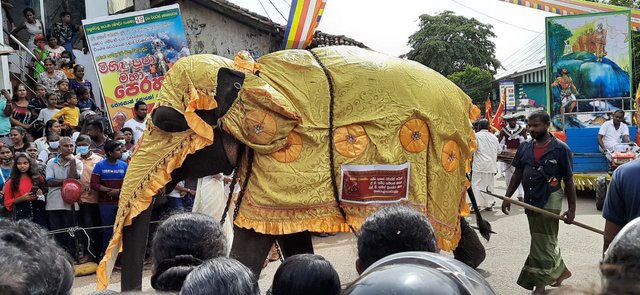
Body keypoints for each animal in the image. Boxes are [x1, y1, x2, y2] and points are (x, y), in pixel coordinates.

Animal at [94, 46, 484, 292]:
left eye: (166, 123)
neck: (250, 74)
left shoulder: (285, 157)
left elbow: (255, 235)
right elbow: (285, 231)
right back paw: (473, 258)